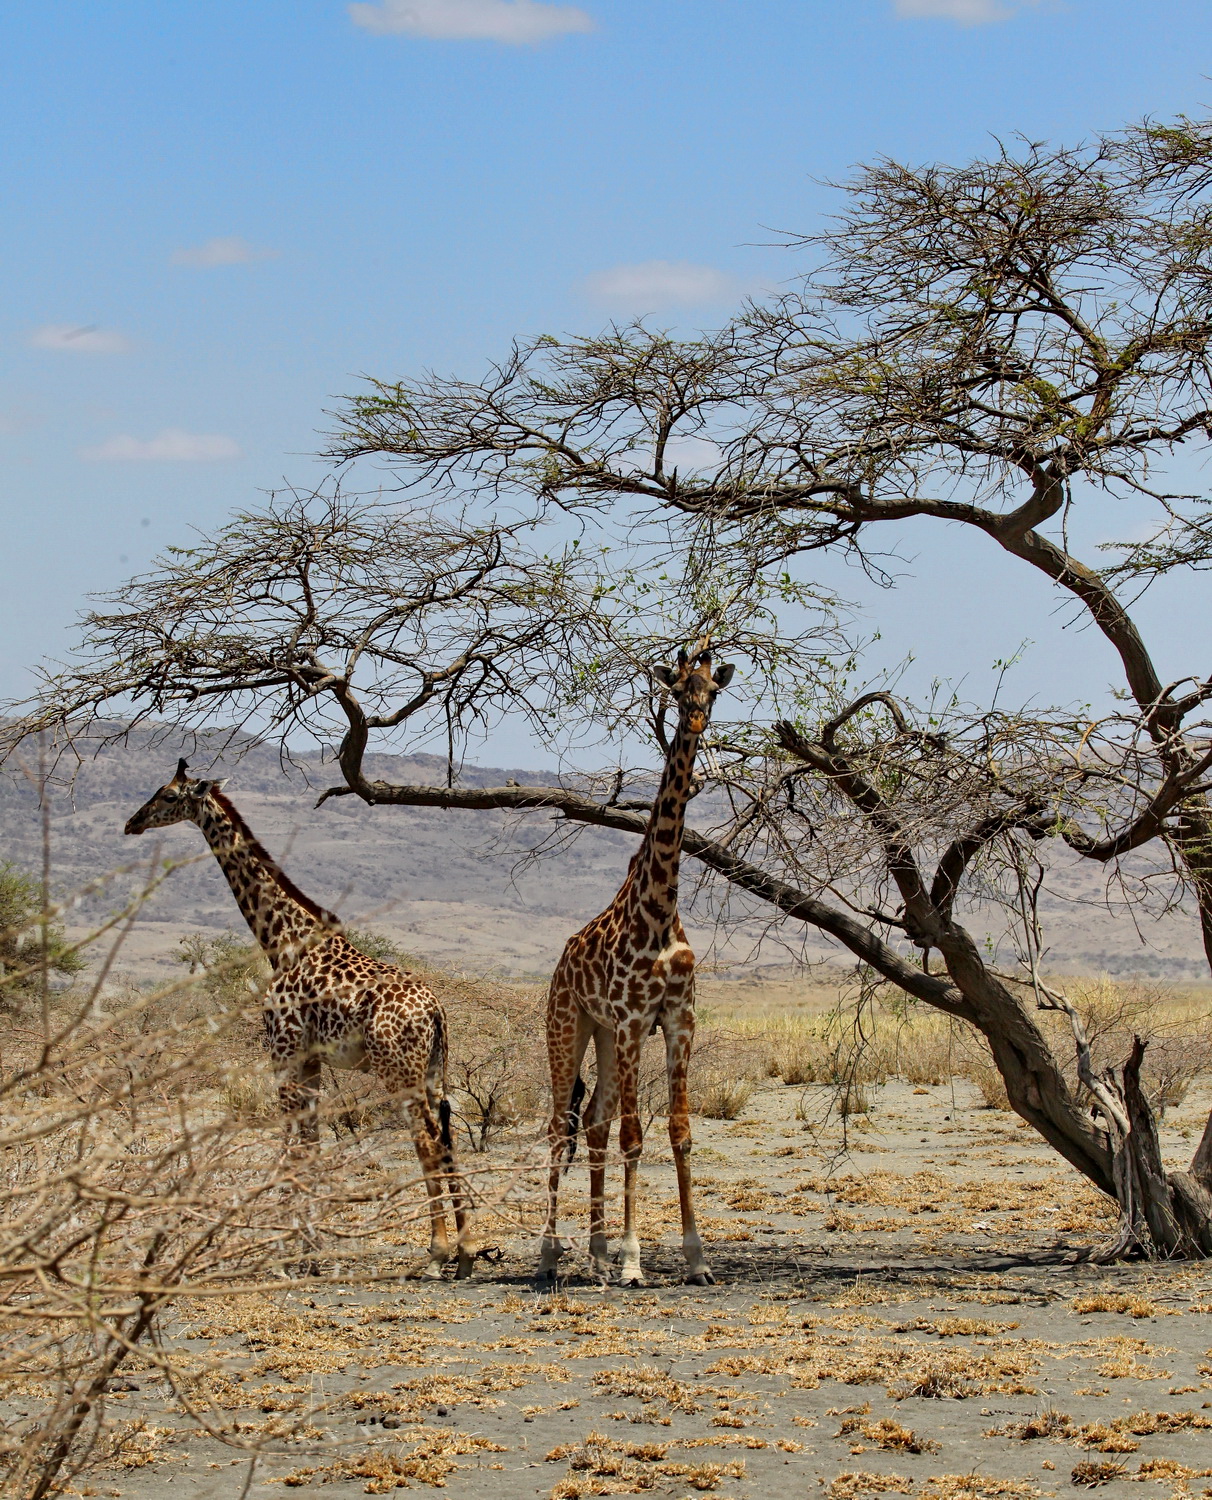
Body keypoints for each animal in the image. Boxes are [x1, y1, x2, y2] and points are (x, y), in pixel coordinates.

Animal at [124, 762, 477, 1278]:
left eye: (168, 796)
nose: (132, 823)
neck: (283, 942)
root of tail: (436, 1012)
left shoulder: (283, 1053)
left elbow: (292, 1147)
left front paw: (290, 1254)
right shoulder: (310, 1062)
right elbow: (311, 1146)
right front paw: (312, 1248)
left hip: (398, 1072)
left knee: (427, 1143)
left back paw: (435, 1252)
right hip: (433, 1072)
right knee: (448, 1141)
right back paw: (467, 1250)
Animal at [543, 648, 735, 1290]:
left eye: (713, 690)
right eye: (677, 689)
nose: (696, 721)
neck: (659, 909)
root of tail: (560, 964)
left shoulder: (678, 1020)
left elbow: (679, 1133)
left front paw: (697, 1259)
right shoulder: (632, 1020)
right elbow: (634, 1135)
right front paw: (633, 1260)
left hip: (602, 1035)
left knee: (593, 1122)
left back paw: (596, 1253)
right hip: (569, 1027)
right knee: (560, 1125)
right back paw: (551, 1252)